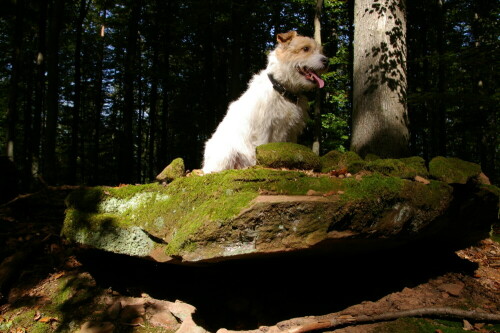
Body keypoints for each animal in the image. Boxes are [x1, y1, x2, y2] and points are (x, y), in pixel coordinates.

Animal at [201, 30, 326, 174]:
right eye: (305, 49)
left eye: (320, 50)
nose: (326, 61)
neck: (282, 90)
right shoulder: (264, 129)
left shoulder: (292, 131)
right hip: (226, 153)